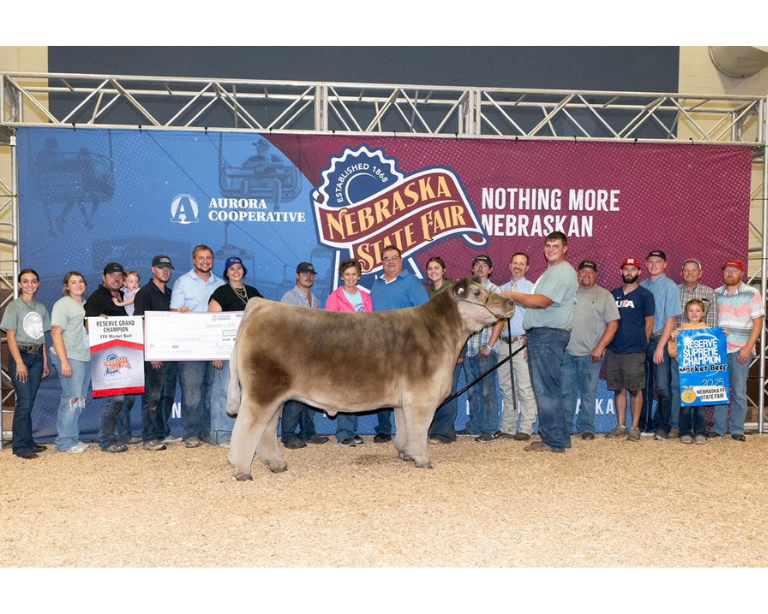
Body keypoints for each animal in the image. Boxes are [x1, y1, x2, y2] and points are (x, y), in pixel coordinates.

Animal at [227, 277, 514, 480]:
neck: (440, 333)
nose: (510, 302)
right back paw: (241, 470)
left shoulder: (404, 401)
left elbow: (405, 428)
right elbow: (420, 429)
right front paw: (423, 460)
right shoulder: (422, 397)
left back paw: (276, 465)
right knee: (246, 427)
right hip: (262, 391)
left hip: (274, 395)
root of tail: (262, 305)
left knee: (265, 431)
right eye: (478, 294)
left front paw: (406, 454)